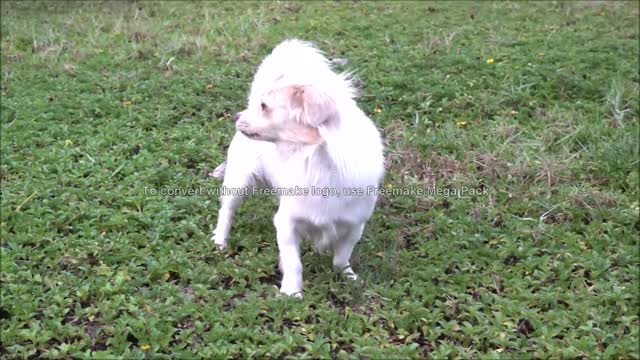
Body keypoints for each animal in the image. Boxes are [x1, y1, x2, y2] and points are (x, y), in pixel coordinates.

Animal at [211, 40, 384, 298]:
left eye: (264, 106)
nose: (236, 115)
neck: (314, 161)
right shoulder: (286, 222)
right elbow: (294, 263)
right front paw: (291, 293)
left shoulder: (354, 225)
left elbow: (341, 257)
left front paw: (348, 277)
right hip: (238, 182)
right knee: (227, 211)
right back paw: (220, 242)